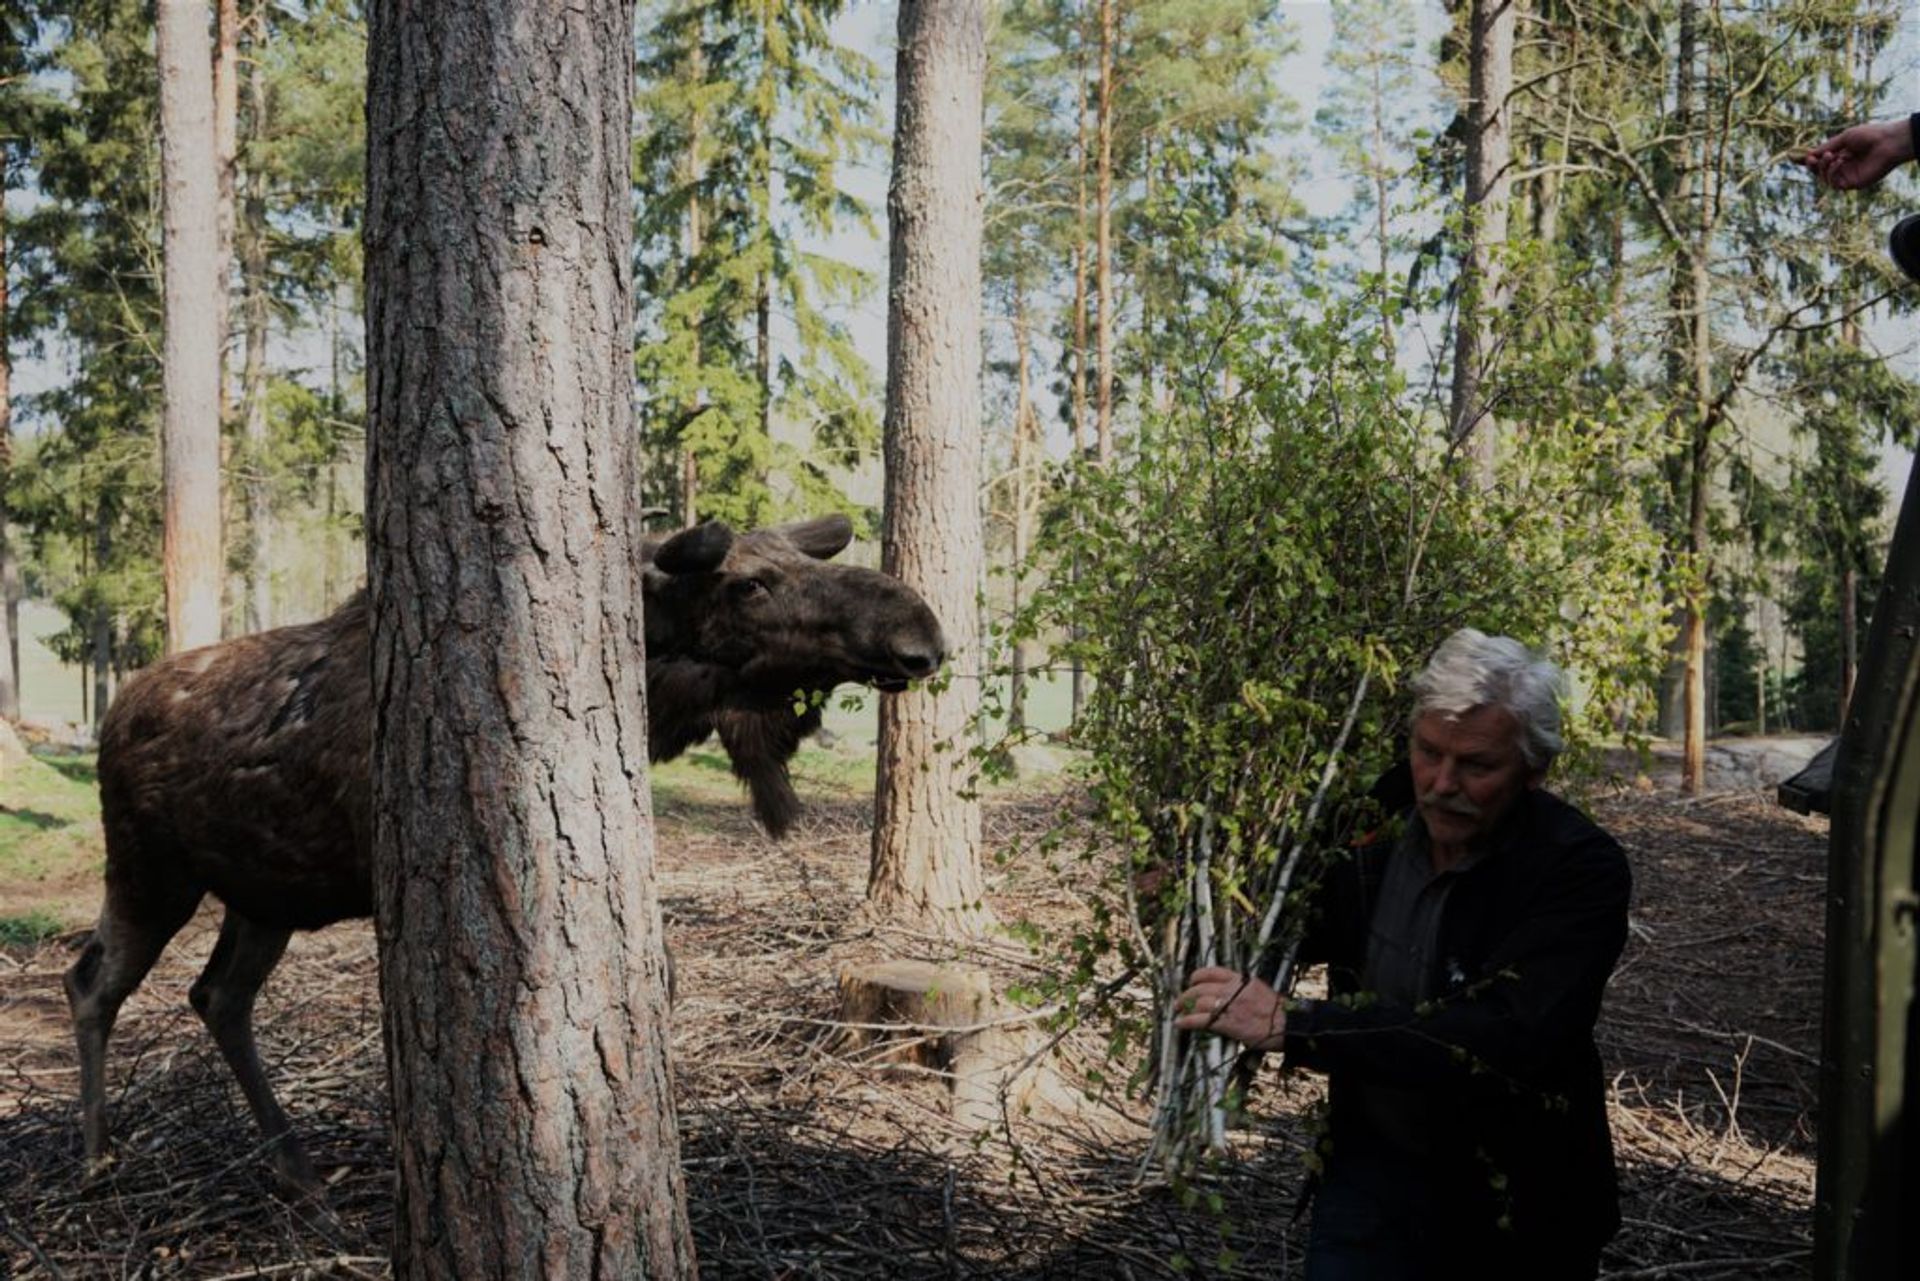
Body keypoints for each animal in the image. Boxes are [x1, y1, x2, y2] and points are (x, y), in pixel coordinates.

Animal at [65, 514, 944, 1198]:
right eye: (750, 584)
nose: (920, 634)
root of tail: (110, 715)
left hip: (264, 896)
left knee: (216, 997)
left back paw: (298, 1171)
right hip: (150, 870)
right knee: (92, 980)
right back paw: (97, 1155)